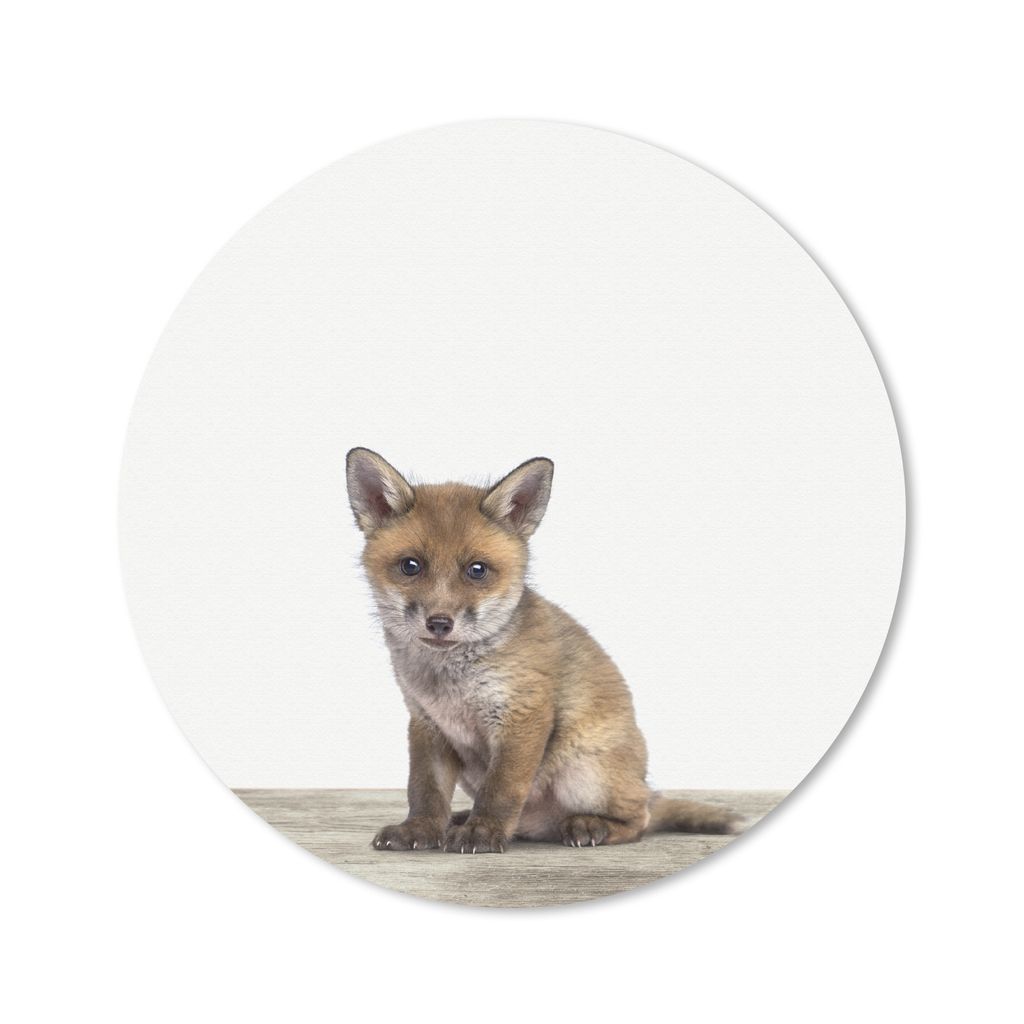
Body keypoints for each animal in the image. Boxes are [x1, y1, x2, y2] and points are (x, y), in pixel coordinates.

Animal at [346, 447, 741, 853]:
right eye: (411, 566)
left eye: (477, 570)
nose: (439, 623)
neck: (451, 684)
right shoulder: (427, 724)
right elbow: (425, 790)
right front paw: (420, 829)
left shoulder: (524, 714)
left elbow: (502, 788)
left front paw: (482, 831)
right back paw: (465, 819)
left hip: (585, 774)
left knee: (639, 820)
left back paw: (590, 826)